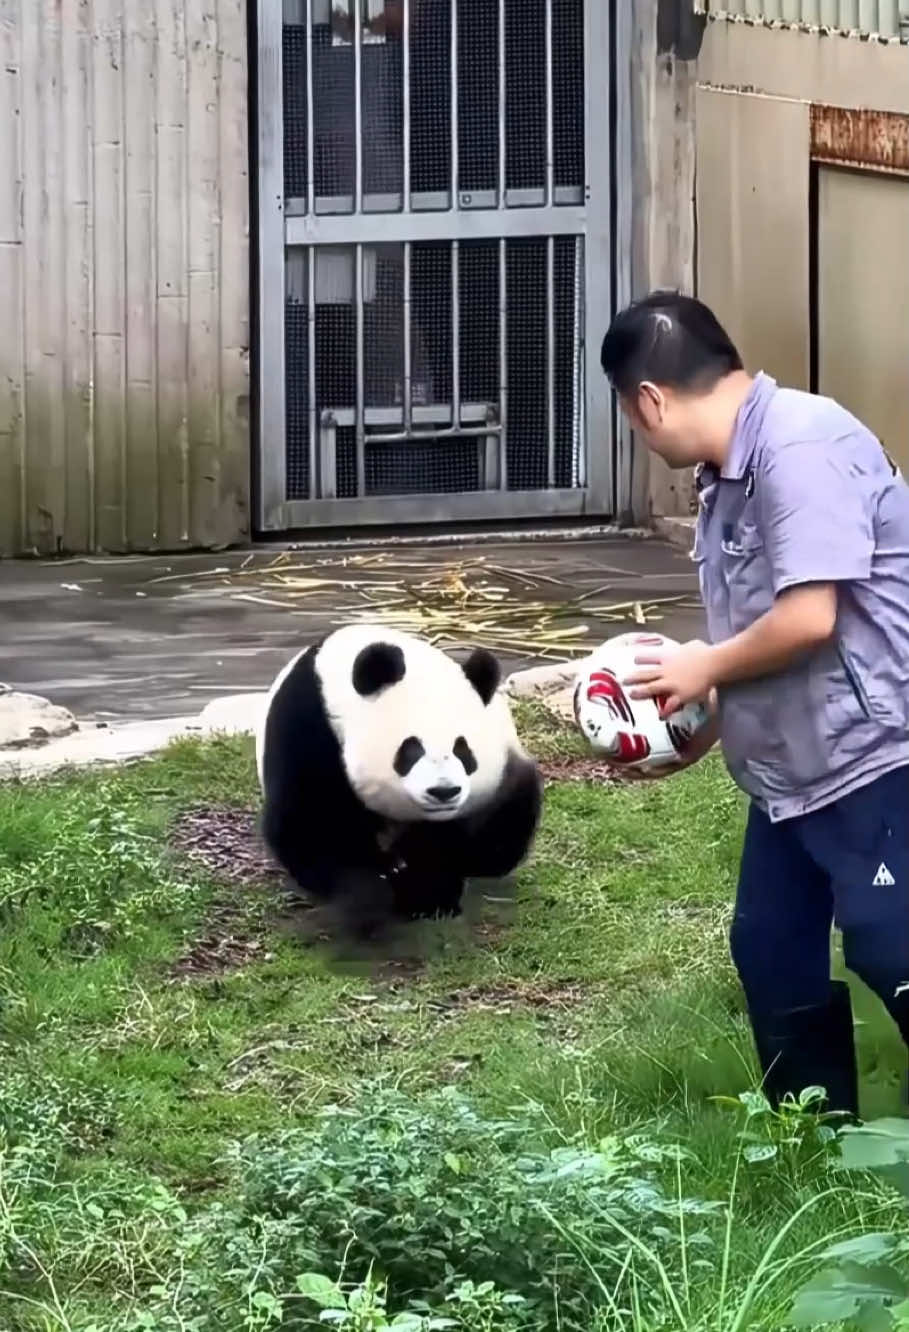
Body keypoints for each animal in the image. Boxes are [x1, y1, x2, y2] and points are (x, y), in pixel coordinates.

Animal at [255, 624, 542, 934]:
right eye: (411, 749)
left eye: (462, 749)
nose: (443, 791)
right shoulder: (308, 725)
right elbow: (314, 821)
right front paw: (369, 893)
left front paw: (428, 895)